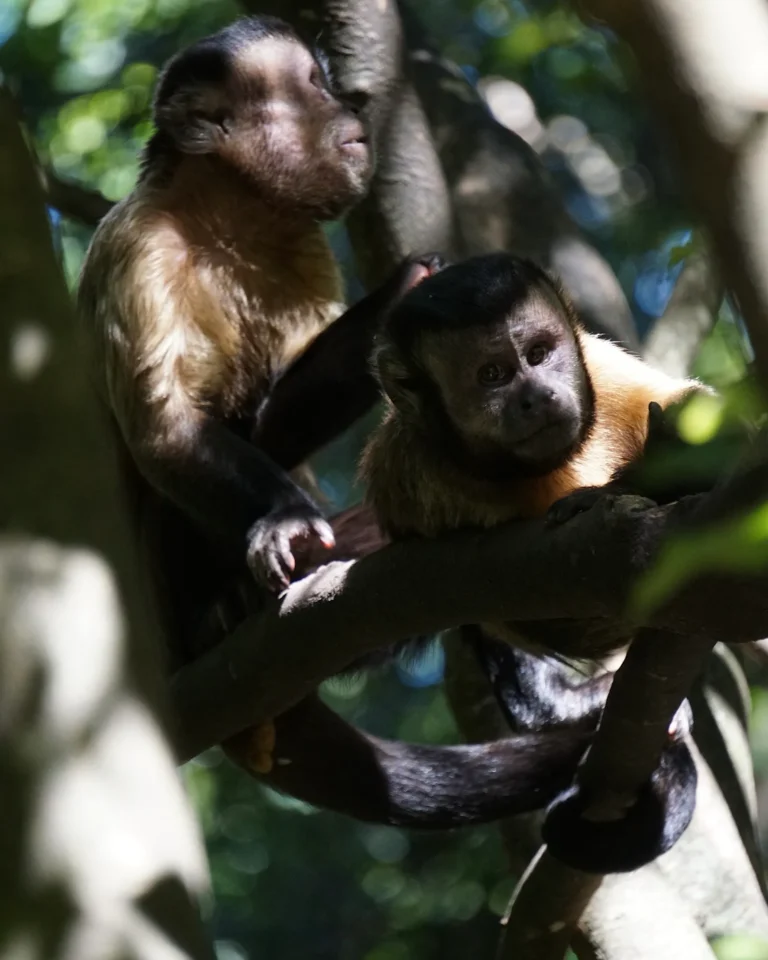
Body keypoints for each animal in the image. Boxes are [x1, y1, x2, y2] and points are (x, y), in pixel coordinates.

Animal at [77, 18, 615, 832]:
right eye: (312, 84)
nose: (351, 103)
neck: (221, 223)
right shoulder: (140, 248)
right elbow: (167, 433)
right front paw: (282, 518)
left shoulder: (298, 249)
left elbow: (283, 409)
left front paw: (410, 282)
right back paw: (223, 612)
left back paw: (547, 700)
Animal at [360, 252, 711, 870]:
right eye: (493, 375)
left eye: (540, 354)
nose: (537, 395)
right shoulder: (409, 474)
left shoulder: (604, 369)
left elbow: (703, 417)